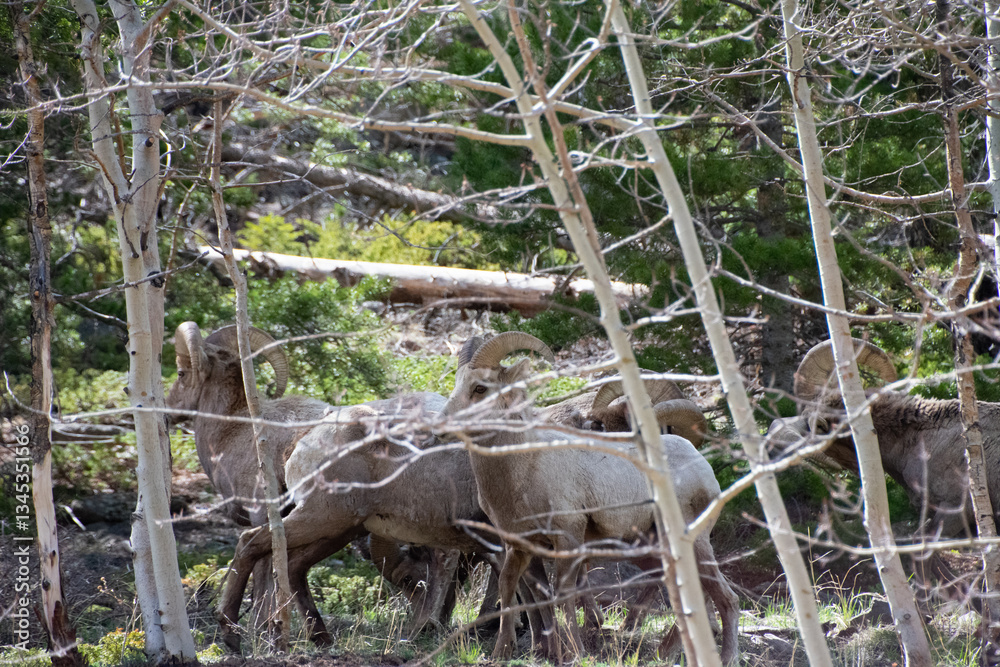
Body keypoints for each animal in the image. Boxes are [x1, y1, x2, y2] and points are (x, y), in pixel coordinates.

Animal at [441, 332, 740, 664]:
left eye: (480, 387)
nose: (441, 426)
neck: (524, 466)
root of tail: (701, 463)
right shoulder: (518, 544)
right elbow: (512, 589)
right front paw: (502, 652)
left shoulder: (568, 538)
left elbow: (565, 593)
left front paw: (575, 652)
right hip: (651, 548)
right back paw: (666, 651)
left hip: (694, 543)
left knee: (728, 598)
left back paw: (726, 658)